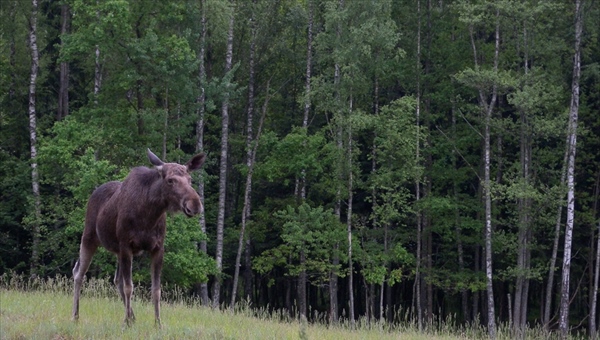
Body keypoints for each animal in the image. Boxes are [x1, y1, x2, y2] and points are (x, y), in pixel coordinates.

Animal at [72, 149, 206, 326]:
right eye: (170, 180)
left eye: (190, 180)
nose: (195, 204)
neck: (149, 215)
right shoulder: (126, 245)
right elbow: (130, 287)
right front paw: (125, 323)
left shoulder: (157, 248)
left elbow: (156, 290)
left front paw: (157, 324)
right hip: (89, 237)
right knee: (79, 273)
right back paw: (75, 316)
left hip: (116, 250)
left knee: (117, 280)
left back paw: (132, 317)